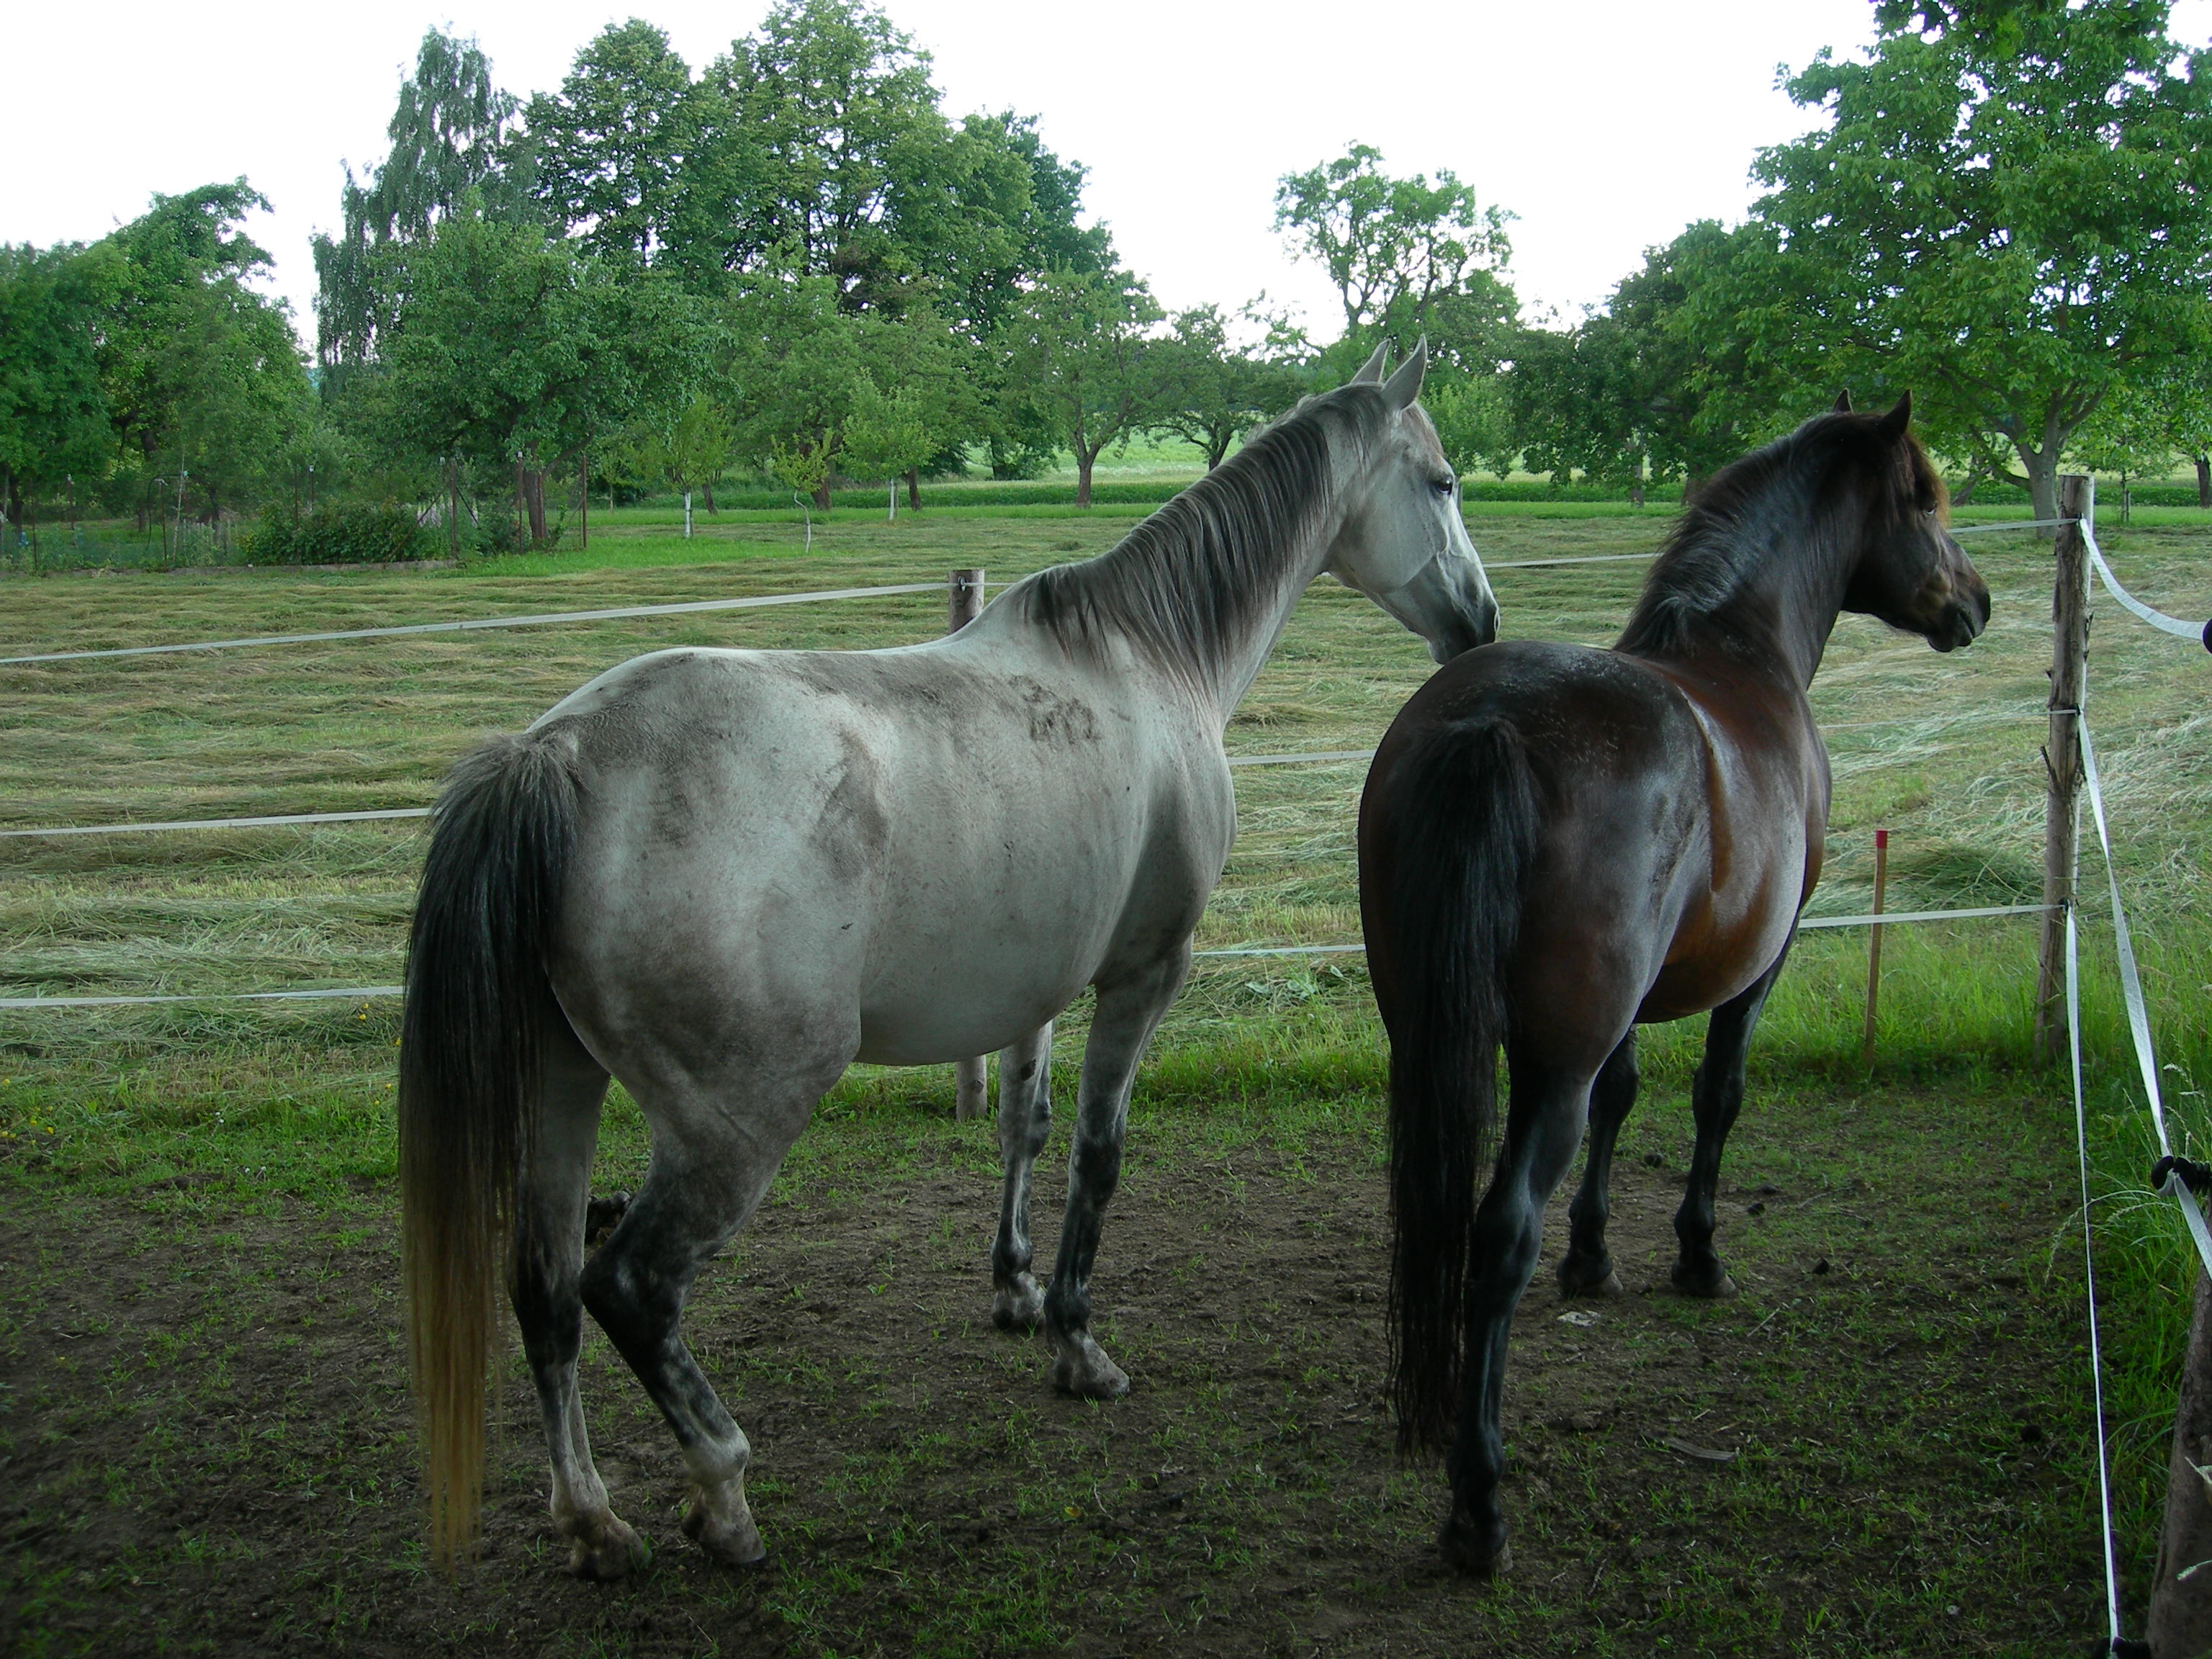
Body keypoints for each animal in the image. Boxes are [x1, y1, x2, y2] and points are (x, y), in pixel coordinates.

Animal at [398, 344, 1498, 1578]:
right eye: (1444, 483)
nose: (1481, 620)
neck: (1147, 658)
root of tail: (560, 755)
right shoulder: (1144, 974)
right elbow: (1098, 1153)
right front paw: (1077, 1341)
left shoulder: (1040, 982)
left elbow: (1024, 1121)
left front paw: (1015, 1287)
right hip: (735, 1121)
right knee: (629, 1287)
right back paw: (723, 1494)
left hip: (562, 1084)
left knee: (543, 1291)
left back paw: (592, 1520)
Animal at [1355, 393, 1988, 1577]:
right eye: (1926, 499)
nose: (1974, 602)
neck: (1740, 654)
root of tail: (1490, 722)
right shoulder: (1762, 966)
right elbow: (1716, 1097)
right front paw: (1697, 1254)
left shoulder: (1626, 1016)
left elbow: (1627, 1097)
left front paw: (1596, 1256)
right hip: (1544, 1071)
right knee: (1498, 1236)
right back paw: (1478, 1504)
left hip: (1426, 1036)